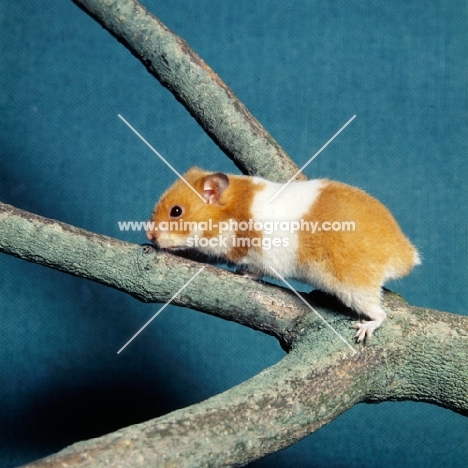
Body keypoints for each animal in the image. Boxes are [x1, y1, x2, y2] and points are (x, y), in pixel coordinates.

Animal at [146, 166, 420, 342]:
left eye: (176, 211)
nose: (149, 235)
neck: (230, 214)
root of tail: (405, 254)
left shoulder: (261, 259)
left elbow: (256, 271)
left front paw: (244, 275)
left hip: (355, 288)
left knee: (380, 314)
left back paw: (363, 329)